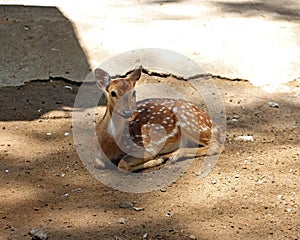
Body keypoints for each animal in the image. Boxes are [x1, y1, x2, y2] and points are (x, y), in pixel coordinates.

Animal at [95, 64, 224, 172]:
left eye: (134, 93)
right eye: (113, 93)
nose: (127, 112)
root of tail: (216, 126)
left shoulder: (147, 146)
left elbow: (122, 164)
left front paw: (157, 160)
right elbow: (99, 164)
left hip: (188, 118)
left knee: (216, 147)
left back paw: (173, 156)